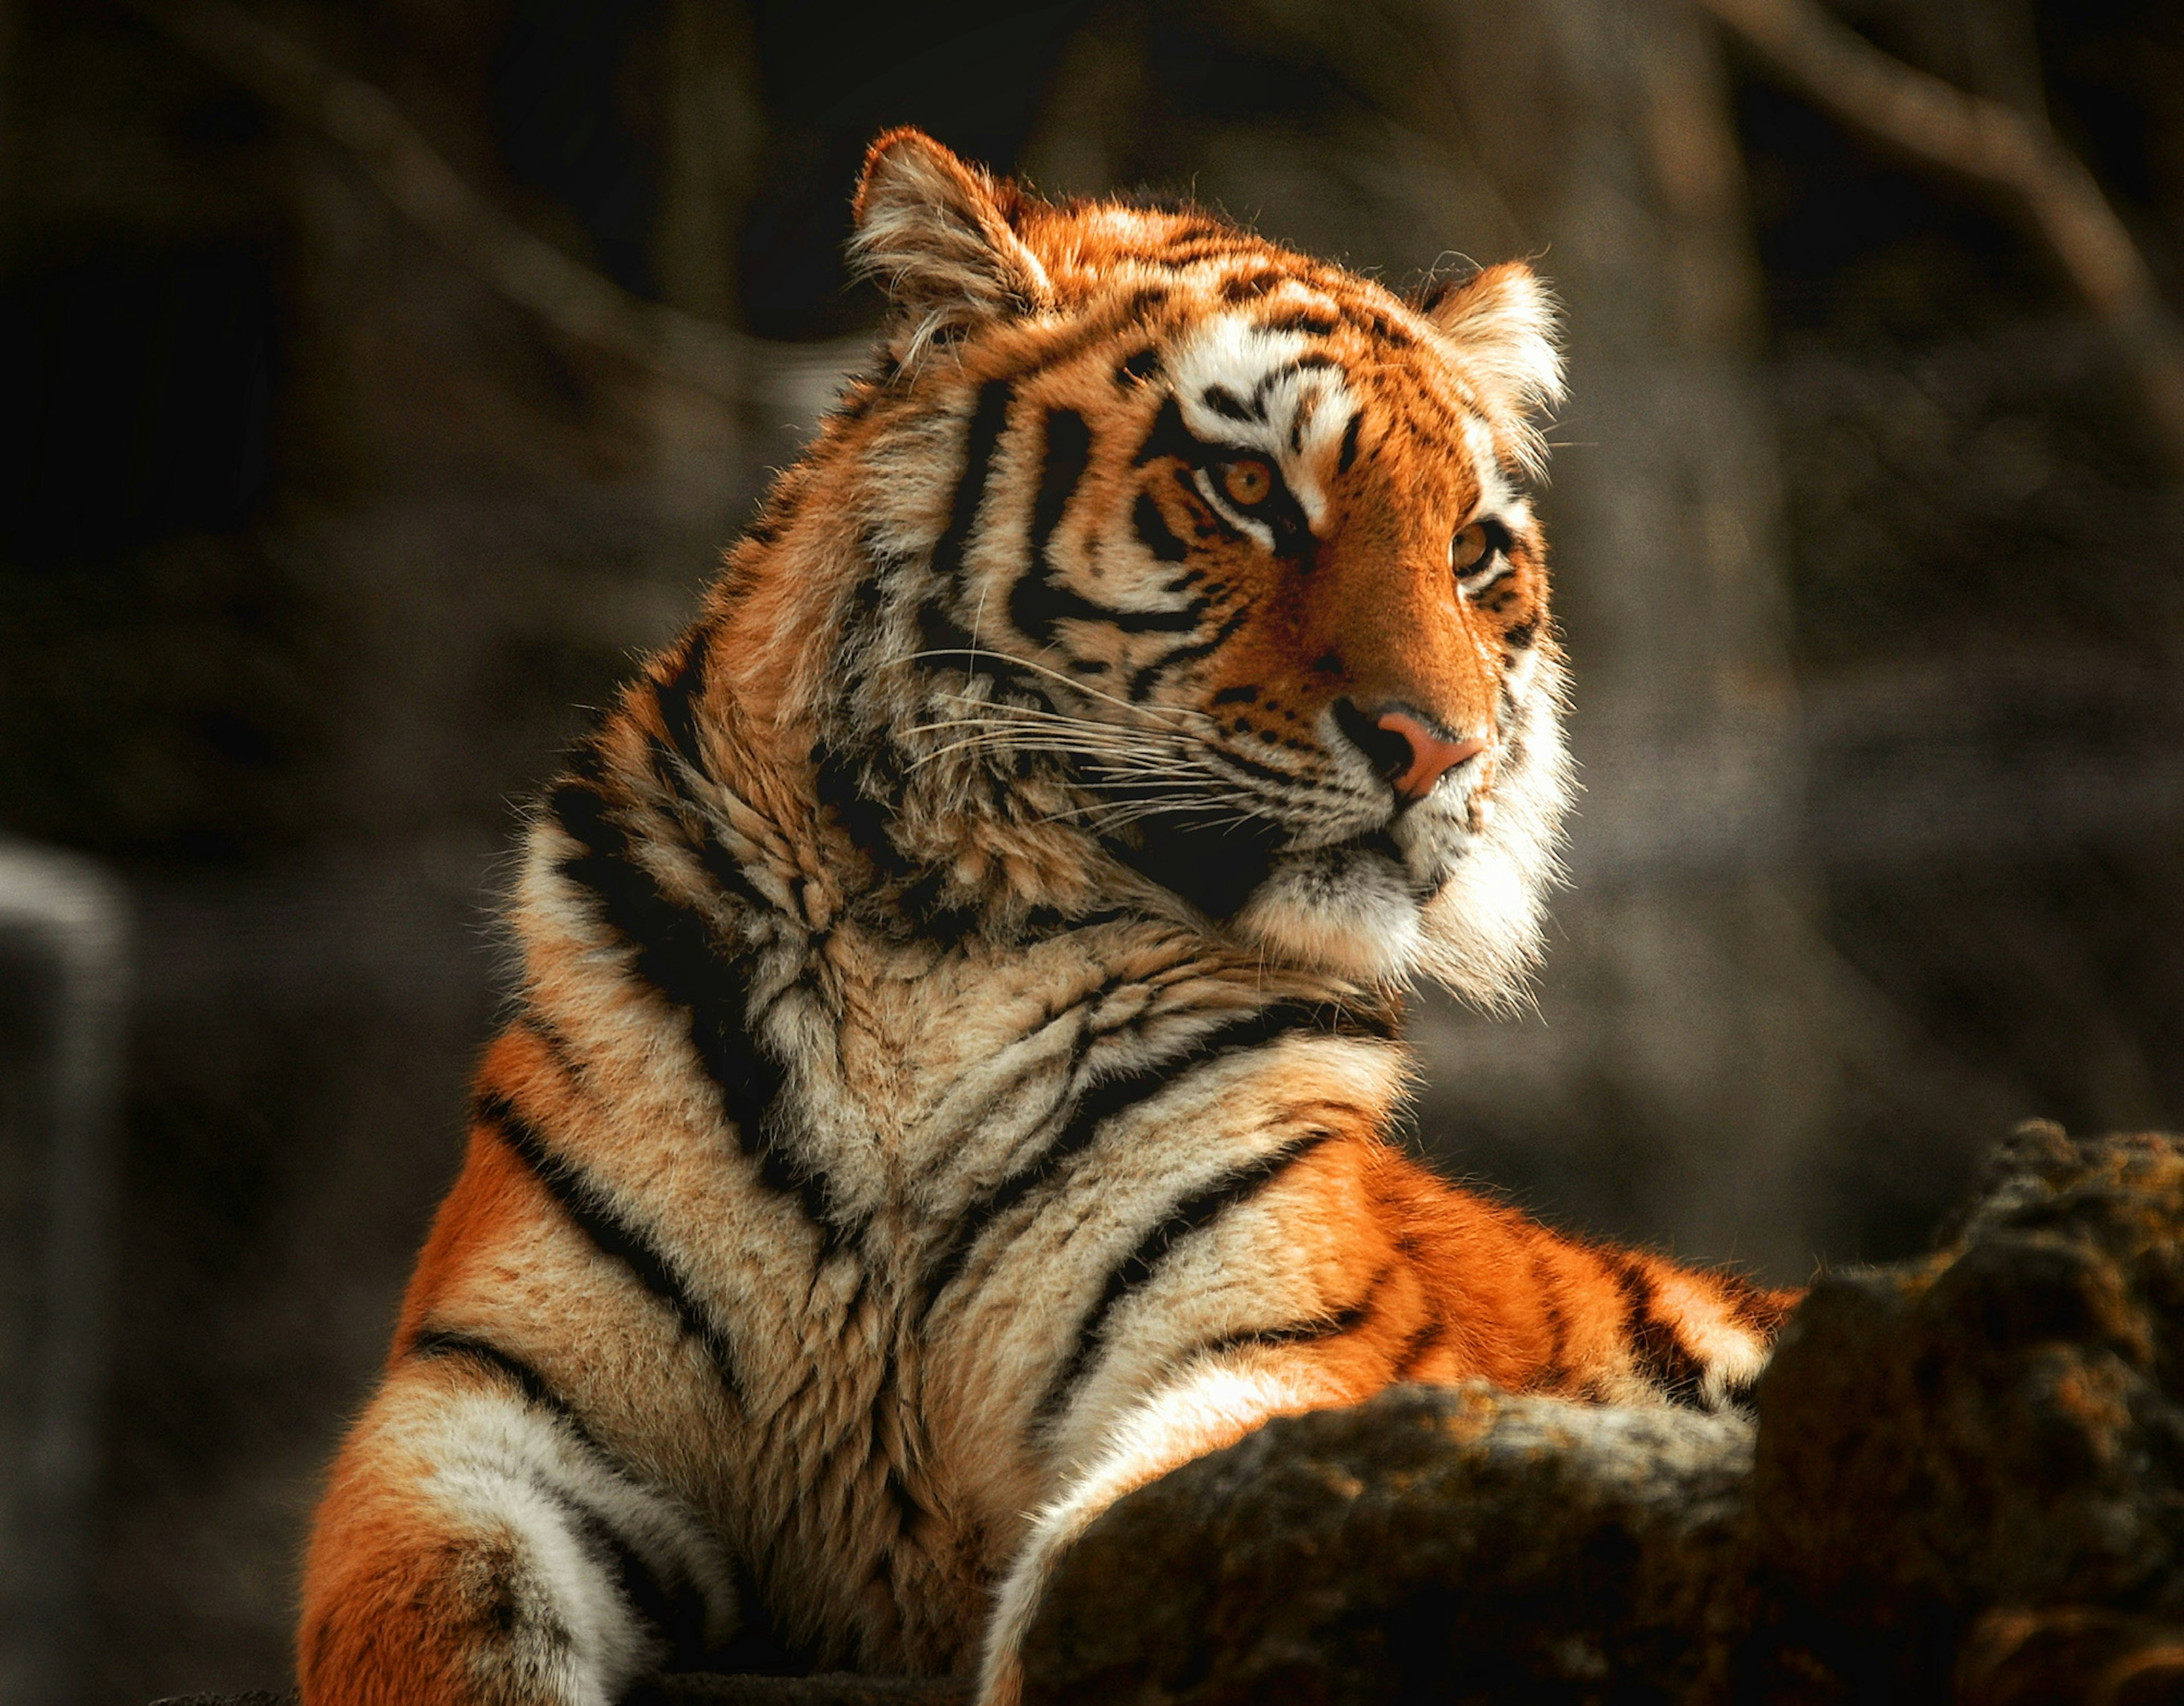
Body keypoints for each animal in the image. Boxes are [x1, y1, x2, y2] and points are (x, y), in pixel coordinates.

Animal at [299, 130, 1800, 1704]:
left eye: (1473, 553)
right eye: (1245, 485)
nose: (1437, 746)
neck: (935, 949)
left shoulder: (1274, 1357)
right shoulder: (476, 1404)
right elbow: (439, 1619)